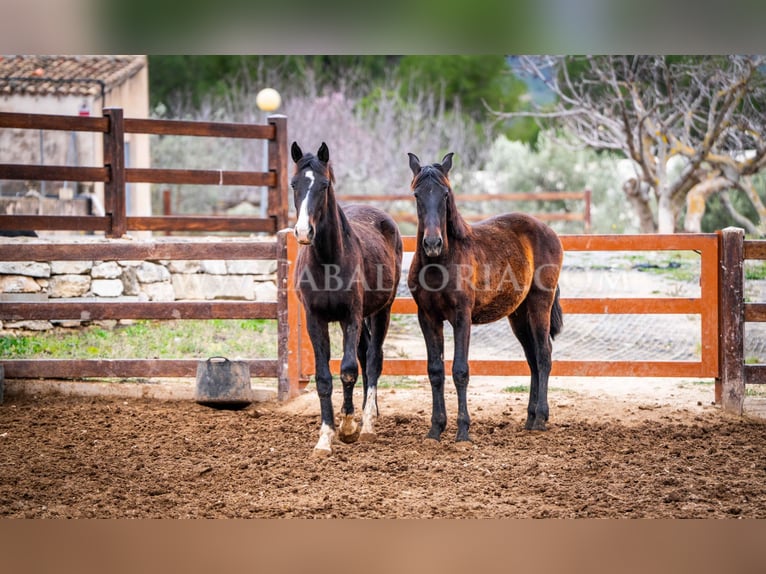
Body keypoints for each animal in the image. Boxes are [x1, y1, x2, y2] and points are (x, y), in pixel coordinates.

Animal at [292, 143, 404, 460]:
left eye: (324, 185)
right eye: (293, 183)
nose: (303, 232)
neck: (328, 260)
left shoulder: (351, 315)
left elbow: (348, 370)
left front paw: (349, 427)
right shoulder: (315, 319)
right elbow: (324, 378)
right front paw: (325, 437)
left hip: (382, 311)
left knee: (373, 358)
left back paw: (367, 423)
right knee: (365, 354)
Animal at [408, 153, 564, 446]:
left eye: (445, 194)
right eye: (417, 194)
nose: (432, 244)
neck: (440, 263)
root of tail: (549, 231)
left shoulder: (462, 317)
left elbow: (460, 370)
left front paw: (463, 431)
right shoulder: (428, 317)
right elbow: (435, 371)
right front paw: (435, 429)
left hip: (540, 303)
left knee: (544, 355)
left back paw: (540, 418)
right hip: (518, 314)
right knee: (532, 359)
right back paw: (529, 419)